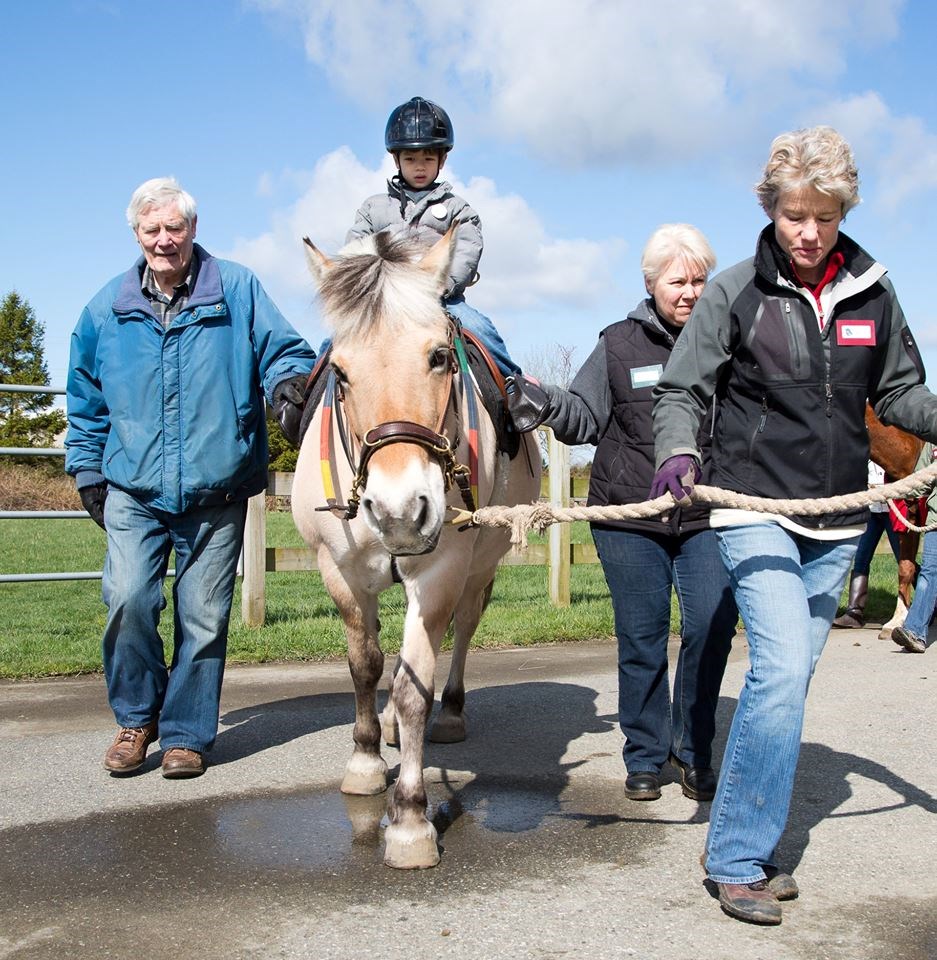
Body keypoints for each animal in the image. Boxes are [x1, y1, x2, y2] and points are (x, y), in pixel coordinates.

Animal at [292, 231, 540, 872]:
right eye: (341, 373)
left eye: (438, 357)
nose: (400, 509)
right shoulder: (341, 573)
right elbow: (365, 666)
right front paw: (365, 760)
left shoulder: (440, 573)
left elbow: (412, 688)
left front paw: (408, 818)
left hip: (476, 572)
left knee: (461, 634)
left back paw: (448, 713)